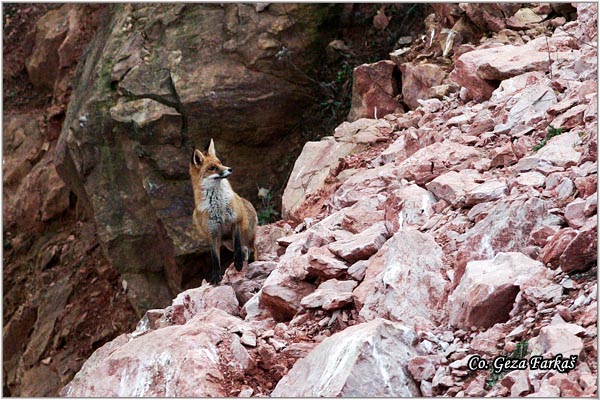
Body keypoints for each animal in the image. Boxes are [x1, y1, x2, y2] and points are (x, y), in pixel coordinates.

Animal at [190, 139, 258, 282]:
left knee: (251, 249)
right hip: (227, 243)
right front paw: (216, 277)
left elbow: (237, 247)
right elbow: (215, 258)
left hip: (248, 235)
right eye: (212, 168)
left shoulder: (235, 221)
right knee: (245, 250)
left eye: (220, 162)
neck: (217, 205)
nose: (230, 169)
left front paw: (238, 264)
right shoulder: (212, 232)